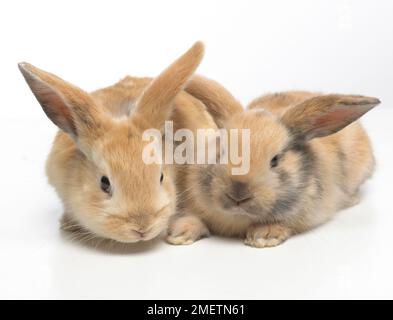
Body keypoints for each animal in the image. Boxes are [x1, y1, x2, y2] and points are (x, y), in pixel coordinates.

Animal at [166, 75, 380, 248]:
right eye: (222, 151)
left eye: (275, 160)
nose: (238, 196)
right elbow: (193, 218)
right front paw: (179, 234)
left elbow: (283, 224)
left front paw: (263, 236)